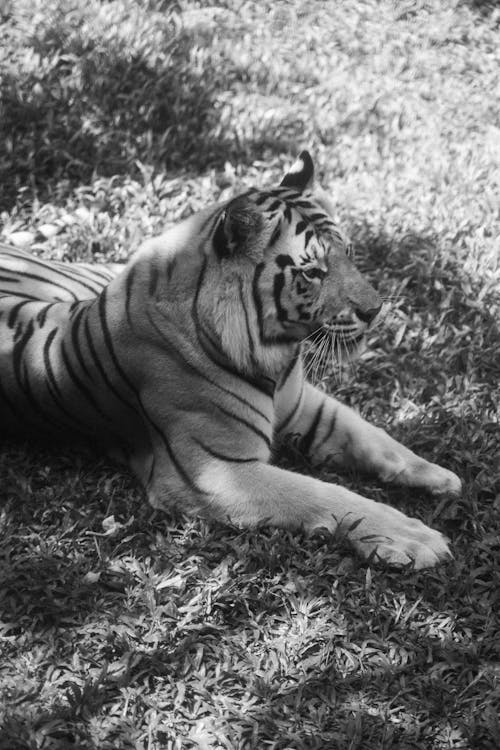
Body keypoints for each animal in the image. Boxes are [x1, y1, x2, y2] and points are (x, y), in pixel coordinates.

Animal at [0, 151, 460, 568]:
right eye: (313, 272)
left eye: (348, 251)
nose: (374, 310)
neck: (276, 353)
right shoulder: (215, 470)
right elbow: (320, 493)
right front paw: (411, 535)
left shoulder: (304, 404)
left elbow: (373, 436)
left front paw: (439, 476)